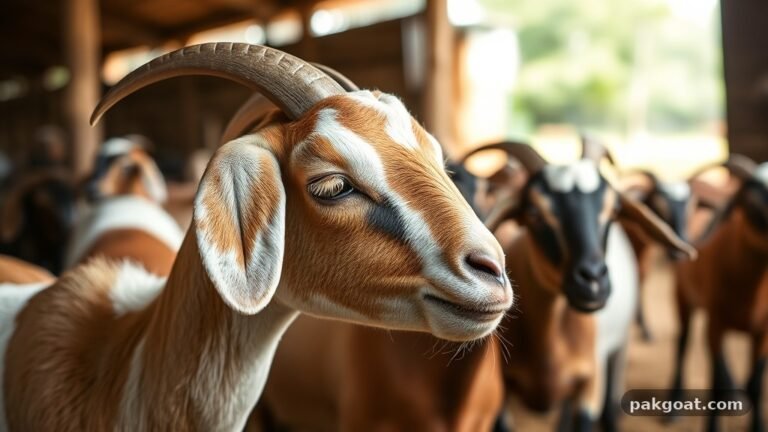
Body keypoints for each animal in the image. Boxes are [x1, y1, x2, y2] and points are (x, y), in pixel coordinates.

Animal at [465, 142, 695, 432]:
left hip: (618, 346)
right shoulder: (500, 390)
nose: (593, 279)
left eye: (614, 210)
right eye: (534, 213)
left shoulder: (590, 382)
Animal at [670, 156, 768, 432]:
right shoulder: (716, 325)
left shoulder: (763, 332)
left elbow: (755, 385)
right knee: (682, 343)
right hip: (682, 295)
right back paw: (674, 406)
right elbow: (716, 384)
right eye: (753, 199)